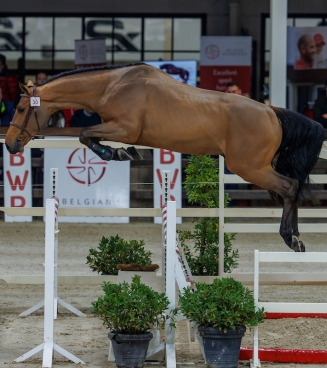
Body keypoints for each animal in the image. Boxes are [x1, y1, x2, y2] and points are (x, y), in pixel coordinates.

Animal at [4, 64, 326, 253]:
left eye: (20, 108)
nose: (9, 144)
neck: (111, 86)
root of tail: (272, 112)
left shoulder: (125, 128)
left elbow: (85, 134)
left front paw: (117, 152)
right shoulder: (114, 127)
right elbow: (86, 136)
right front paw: (120, 152)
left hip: (249, 167)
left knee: (289, 187)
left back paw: (291, 237)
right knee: (293, 187)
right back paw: (296, 237)